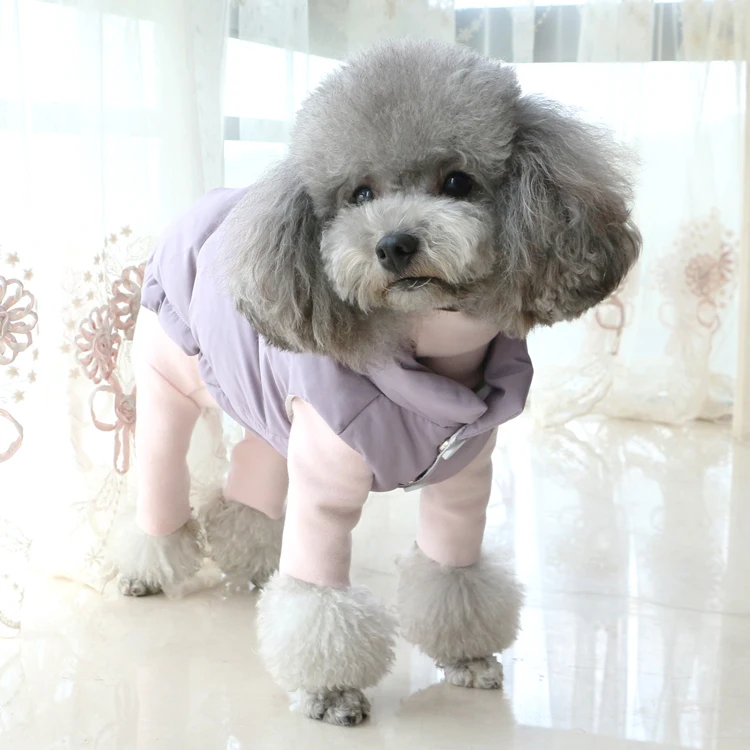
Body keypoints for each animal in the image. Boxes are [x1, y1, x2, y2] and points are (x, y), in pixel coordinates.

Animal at [112, 39, 640, 726]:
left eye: (456, 181)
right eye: (359, 193)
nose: (393, 245)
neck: (428, 358)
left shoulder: (464, 476)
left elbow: (453, 573)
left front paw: (466, 655)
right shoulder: (328, 476)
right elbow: (318, 601)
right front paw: (332, 691)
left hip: (272, 414)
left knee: (250, 480)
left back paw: (252, 557)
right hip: (166, 385)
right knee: (159, 476)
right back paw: (146, 568)